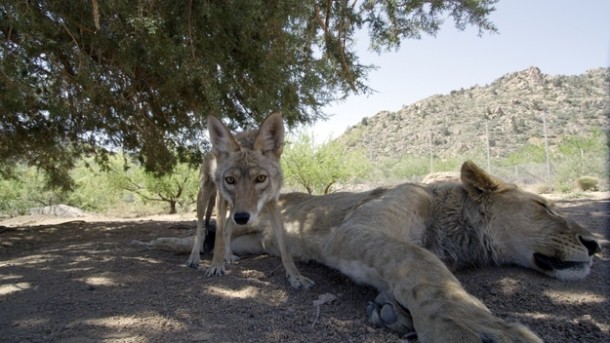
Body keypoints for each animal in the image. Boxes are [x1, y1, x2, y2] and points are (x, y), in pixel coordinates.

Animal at [134, 162, 600, 343]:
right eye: (544, 206)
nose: (596, 244)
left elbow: (408, 272)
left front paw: (392, 312)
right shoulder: (355, 229)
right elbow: (421, 265)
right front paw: (476, 327)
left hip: (255, 241)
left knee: (228, 242)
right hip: (243, 215)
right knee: (207, 231)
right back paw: (180, 252)